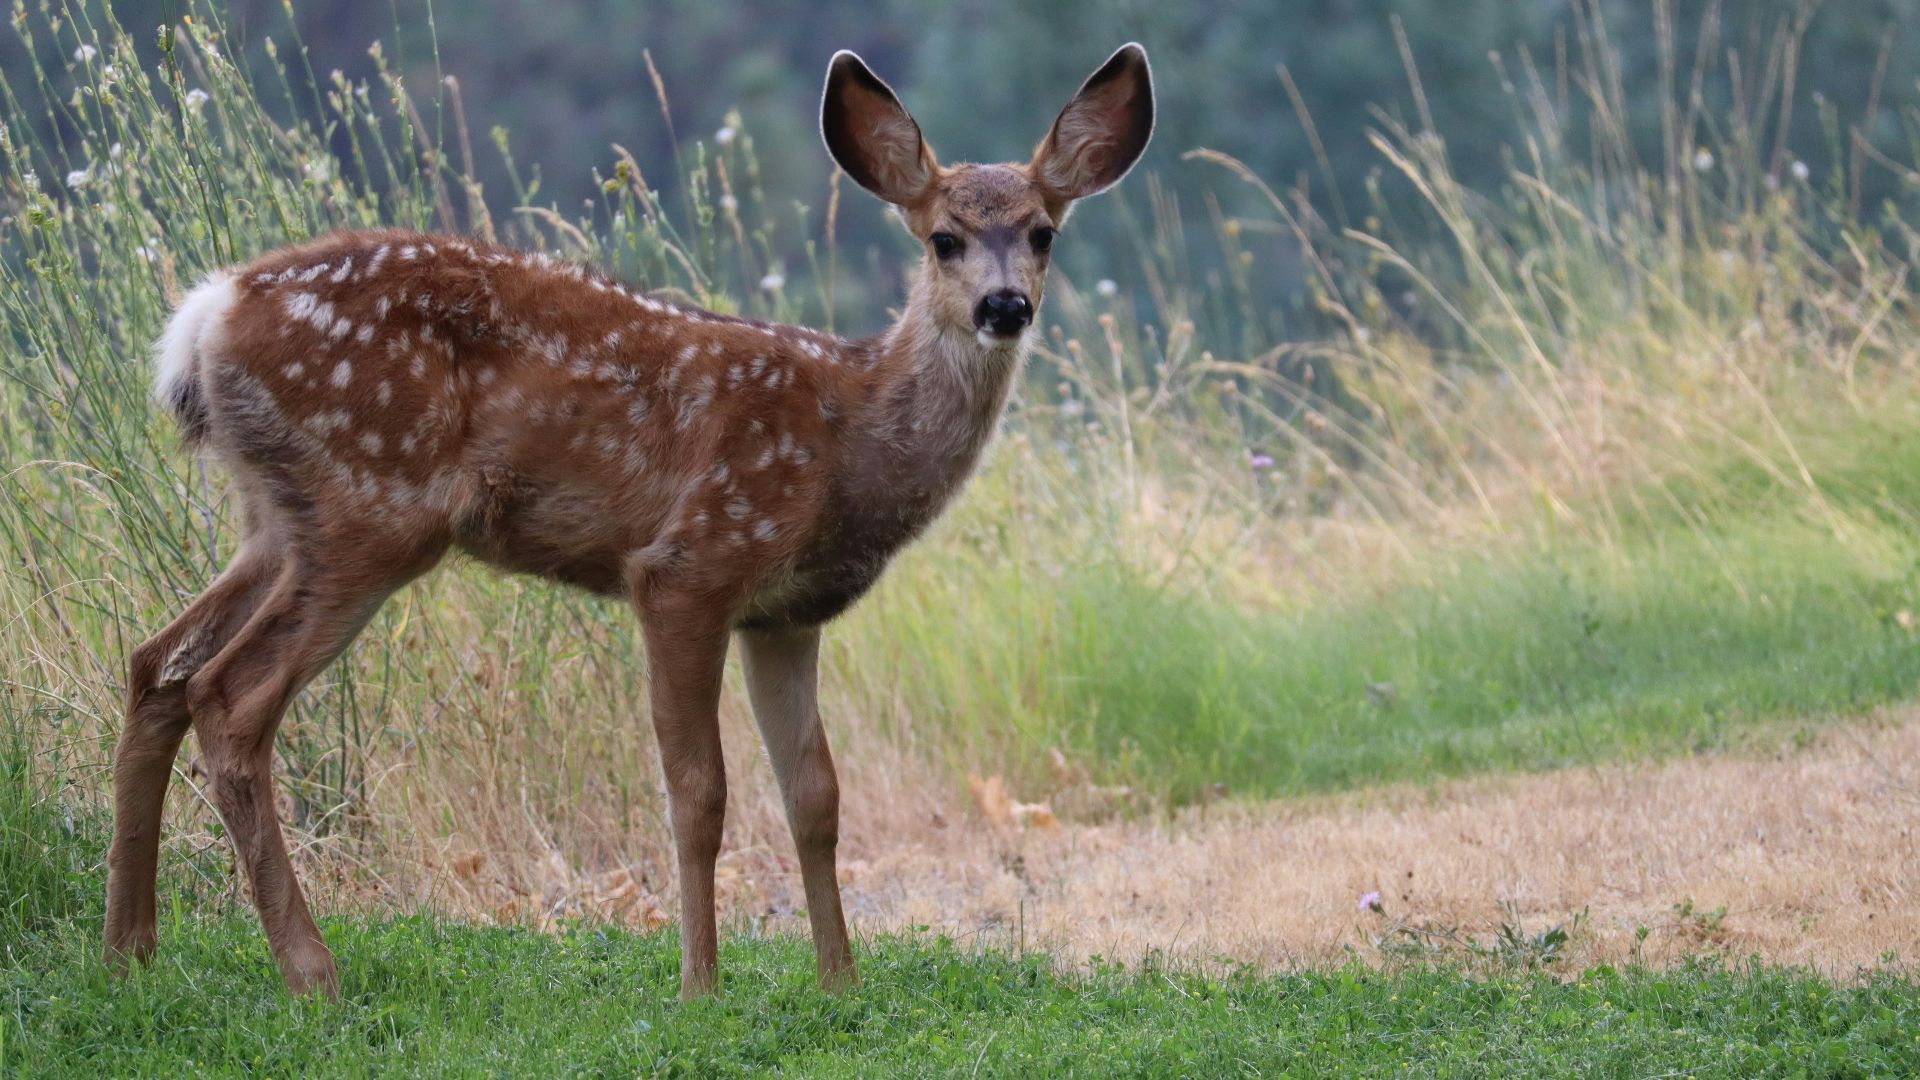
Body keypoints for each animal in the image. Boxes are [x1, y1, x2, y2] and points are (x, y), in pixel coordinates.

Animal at [105, 43, 1153, 1000]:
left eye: (1044, 232)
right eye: (943, 238)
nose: (1004, 305)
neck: (848, 439)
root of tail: (205, 317)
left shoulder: (785, 613)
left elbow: (814, 794)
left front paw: (840, 984)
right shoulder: (692, 563)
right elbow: (700, 791)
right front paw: (700, 986)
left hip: (277, 518)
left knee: (158, 665)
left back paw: (131, 950)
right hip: (372, 505)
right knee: (230, 695)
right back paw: (311, 972)